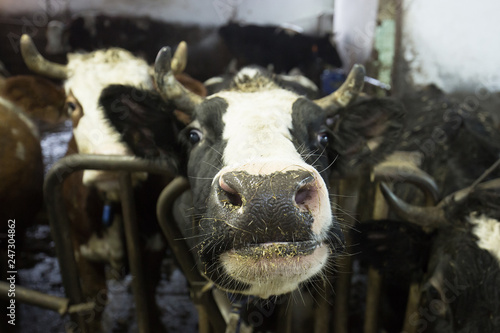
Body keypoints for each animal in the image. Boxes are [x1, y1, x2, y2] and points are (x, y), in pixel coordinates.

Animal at [19, 33, 205, 330]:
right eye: (71, 105)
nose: (112, 161)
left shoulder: (153, 247)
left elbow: (148, 293)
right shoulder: (81, 252)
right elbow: (94, 302)